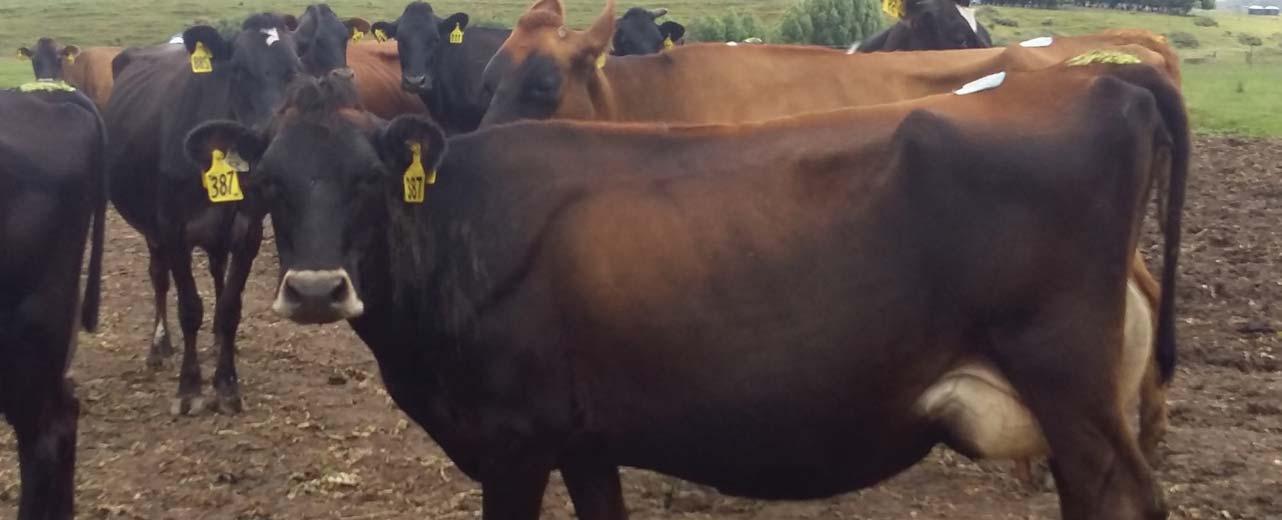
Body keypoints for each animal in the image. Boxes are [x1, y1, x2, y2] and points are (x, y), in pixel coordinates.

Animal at [103, 8, 352, 416]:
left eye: (294, 71)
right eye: (237, 70)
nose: (265, 137)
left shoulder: (248, 230)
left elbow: (230, 307)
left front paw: (226, 384)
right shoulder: (172, 229)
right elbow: (190, 307)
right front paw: (189, 388)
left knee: (217, 273)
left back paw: (218, 343)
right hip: (151, 229)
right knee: (158, 277)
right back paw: (159, 345)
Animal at [183, 54, 1188, 519]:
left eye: (366, 181)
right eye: (268, 183)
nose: (318, 290)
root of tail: (1104, 84)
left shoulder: (512, 443)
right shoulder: (583, 438)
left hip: (1072, 392)